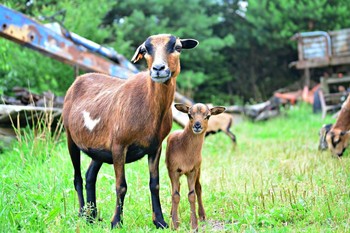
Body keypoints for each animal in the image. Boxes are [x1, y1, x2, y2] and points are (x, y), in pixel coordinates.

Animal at [61, 33, 198, 228]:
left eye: (177, 47)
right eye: (145, 50)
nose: (158, 68)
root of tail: (79, 79)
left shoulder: (155, 146)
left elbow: (154, 184)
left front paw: (160, 221)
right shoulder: (119, 145)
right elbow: (121, 186)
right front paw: (116, 222)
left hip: (98, 149)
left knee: (89, 176)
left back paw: (92, 216)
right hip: (70, 136)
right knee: (78, 178)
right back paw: (83, 215)